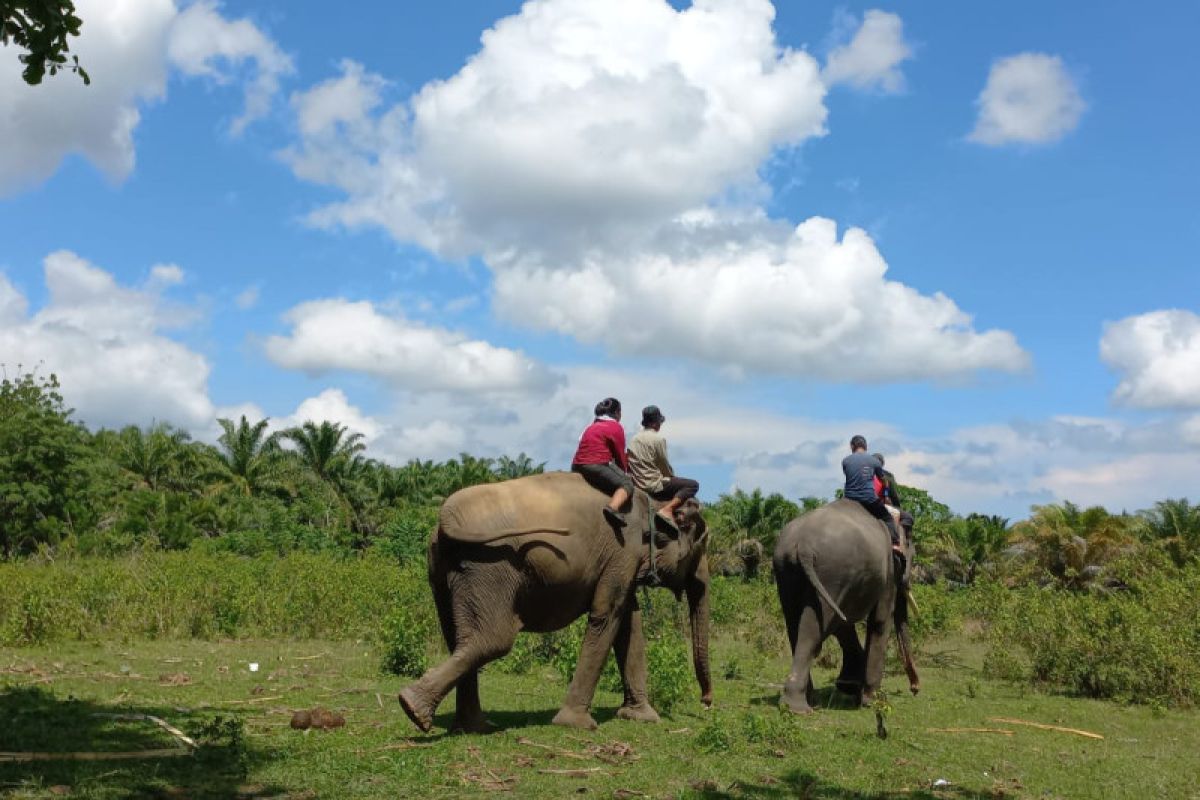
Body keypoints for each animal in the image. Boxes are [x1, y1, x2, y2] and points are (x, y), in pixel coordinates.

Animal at [393, 472, 710, 734]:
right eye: (700, 546)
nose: (706, 703)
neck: (652, 502)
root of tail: (446, 517)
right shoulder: (623, 552)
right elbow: (606, 616)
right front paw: (578, 725)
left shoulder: (623, 563)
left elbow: (629, 625)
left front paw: (641, 717)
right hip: (489, 567)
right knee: (492, 640)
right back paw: (413, 708)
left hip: (443, 568)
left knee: (457, 637)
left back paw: (467, 726)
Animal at [768, 496, 916, 714]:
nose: (915, 689)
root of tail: (803, 545)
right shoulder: (888, 570)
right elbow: (879, 621)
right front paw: (872, 700)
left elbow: (843, 624)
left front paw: (849, 686)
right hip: (831, 573)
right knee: (813, 629)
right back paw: (799, 708)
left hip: (786, 569)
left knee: (796, 624)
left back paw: (804, 700)